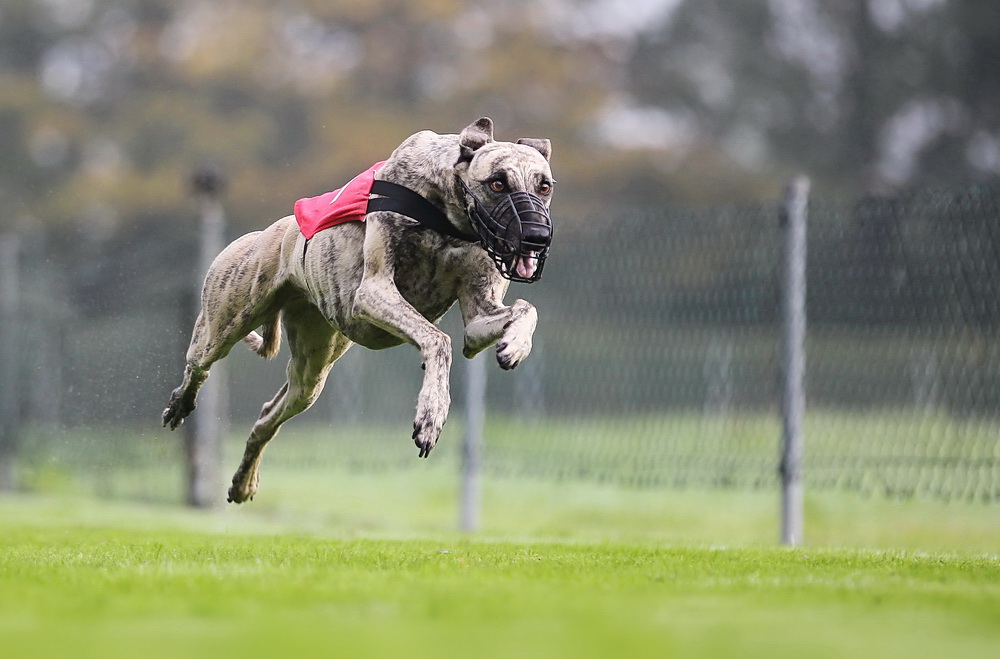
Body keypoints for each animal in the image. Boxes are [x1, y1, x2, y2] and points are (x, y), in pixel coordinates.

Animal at [163, 118, 556, 502]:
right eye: (497, 183)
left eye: (544, 187)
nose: (536, 237)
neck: (448, 213)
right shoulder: (374, 291)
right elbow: (439, 339)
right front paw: (431, 415)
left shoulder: (478, 318)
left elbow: (525, 308)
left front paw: (515, 345)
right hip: (227, 320)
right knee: (199, 363)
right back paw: (180, 404)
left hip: (312, 370)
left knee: (267, 417)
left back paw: (243, 482)